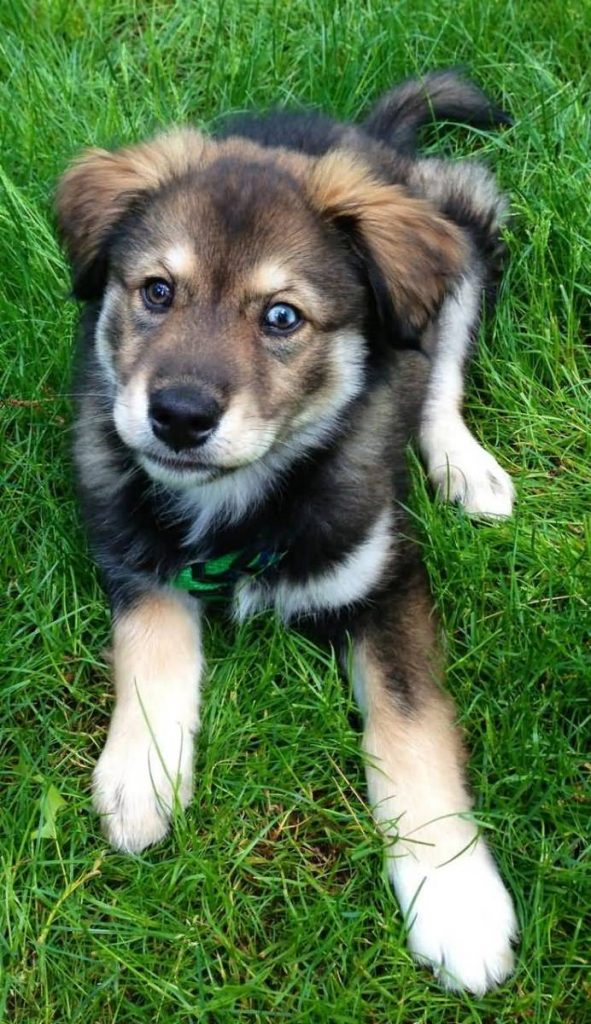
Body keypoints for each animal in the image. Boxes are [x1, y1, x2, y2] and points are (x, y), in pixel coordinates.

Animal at [55, 70, 516, 991]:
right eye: (156, 291)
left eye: (281, 317)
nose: (177, 417)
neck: (243, 497)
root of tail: (369, 136)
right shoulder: (130, 546)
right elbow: (152, 643)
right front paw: (141, 775)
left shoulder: (383, 576)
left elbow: (409, 725)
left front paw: (454, 899)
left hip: (464, 232)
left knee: (439, 378)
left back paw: (466, 469)